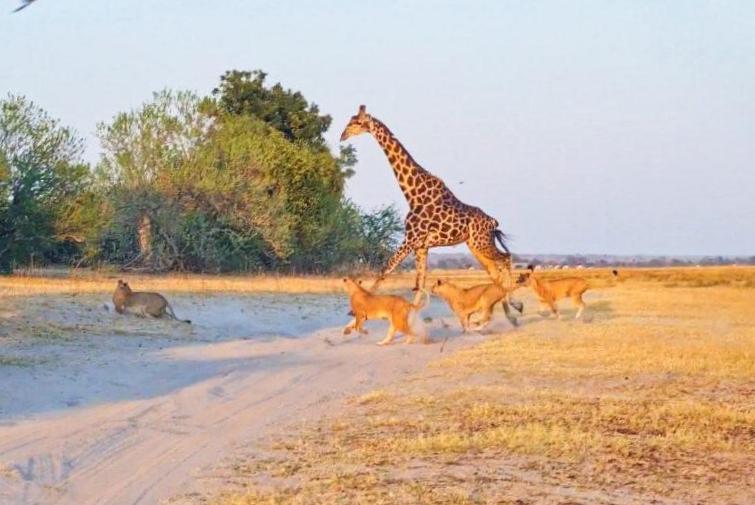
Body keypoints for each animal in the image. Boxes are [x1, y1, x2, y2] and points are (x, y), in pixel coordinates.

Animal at [340, 105, 522, 323]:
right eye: (350, 121)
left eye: (357, 122)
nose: (342, 136)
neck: (412, 193)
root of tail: (494, 222)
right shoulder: (421, 245)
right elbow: (419, 281)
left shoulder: (410, 239)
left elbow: (386, 269)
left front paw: (355, 312)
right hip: (476, 245)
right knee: (494, 270)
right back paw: (508, 311)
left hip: (482, 243)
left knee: (505, 259)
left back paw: (515, 305)